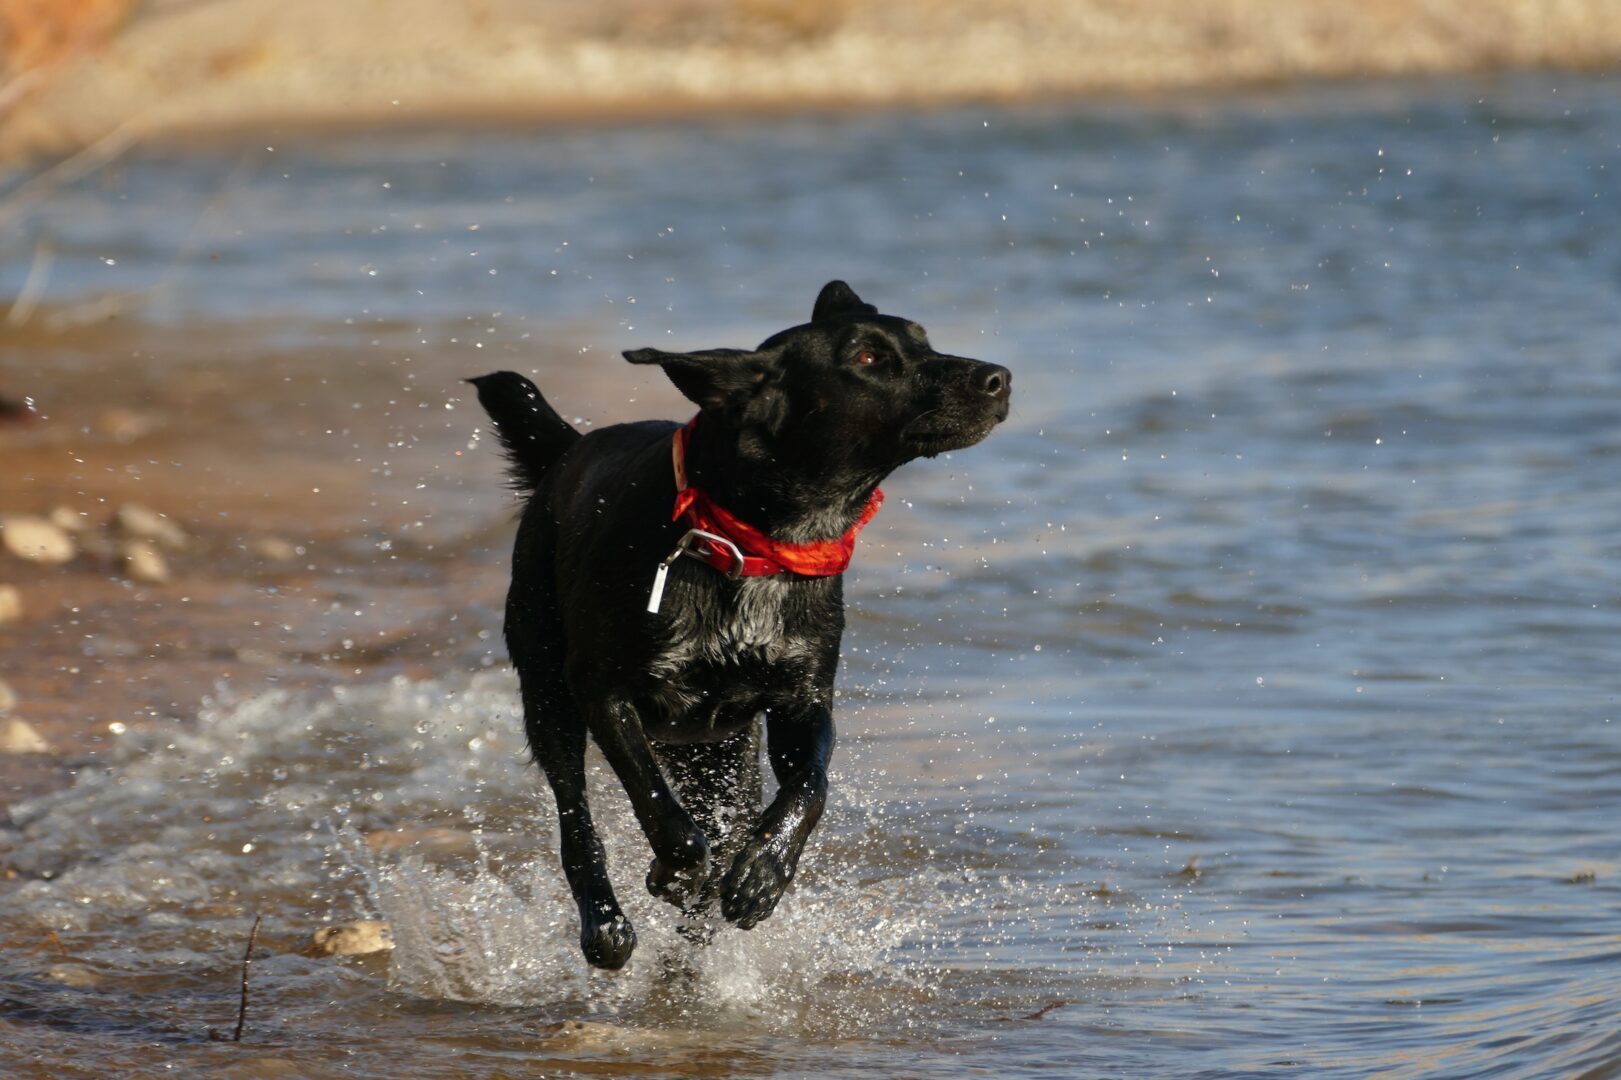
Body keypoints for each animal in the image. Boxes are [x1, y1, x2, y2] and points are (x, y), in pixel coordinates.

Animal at [470, 278, 1005, 966]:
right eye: (867, 359)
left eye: (923, 341)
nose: (999, 378)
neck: (753, 542)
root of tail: (569, 450)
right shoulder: (603, 689)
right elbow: (656, 803)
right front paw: (677, 870)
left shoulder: (802, 700)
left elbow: (810, 788)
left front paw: (762, 873)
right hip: (548, 691)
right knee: (575, 816)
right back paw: (606, 924)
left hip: (719, 754)